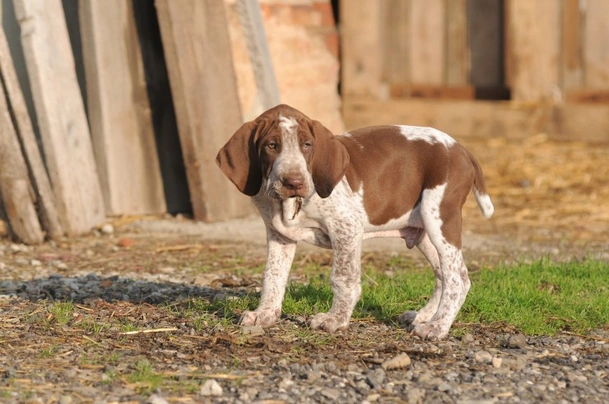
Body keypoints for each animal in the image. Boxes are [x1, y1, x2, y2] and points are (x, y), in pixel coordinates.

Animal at [216, 103, 492, 338]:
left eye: (307, 145)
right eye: (271, 146)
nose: (294, 182)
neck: (290, 203)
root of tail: (461, 149)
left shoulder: (345, 228)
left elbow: (342, 279)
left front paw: (335, 320)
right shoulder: (279, 236)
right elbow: (272, 277)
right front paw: (264, 314)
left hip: (440, 218)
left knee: (458, 278)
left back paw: (437, 327)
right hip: (421, 228)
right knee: (443, 275)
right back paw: (424, 316)